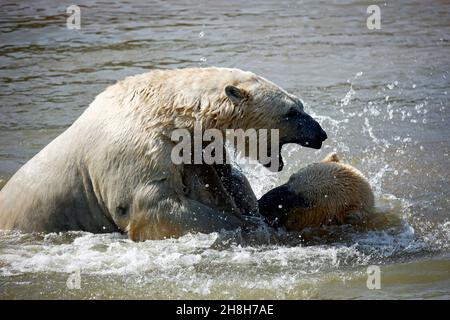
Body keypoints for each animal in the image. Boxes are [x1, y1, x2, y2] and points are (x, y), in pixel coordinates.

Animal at [0, 69, 326, 241]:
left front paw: (252, 212)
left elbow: (228, 179)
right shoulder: (140, 150)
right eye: (291, 111)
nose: (320, 134)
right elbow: (155, 205)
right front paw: (245, 227)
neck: (168, 110)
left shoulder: (198, 150)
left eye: (299, 104)